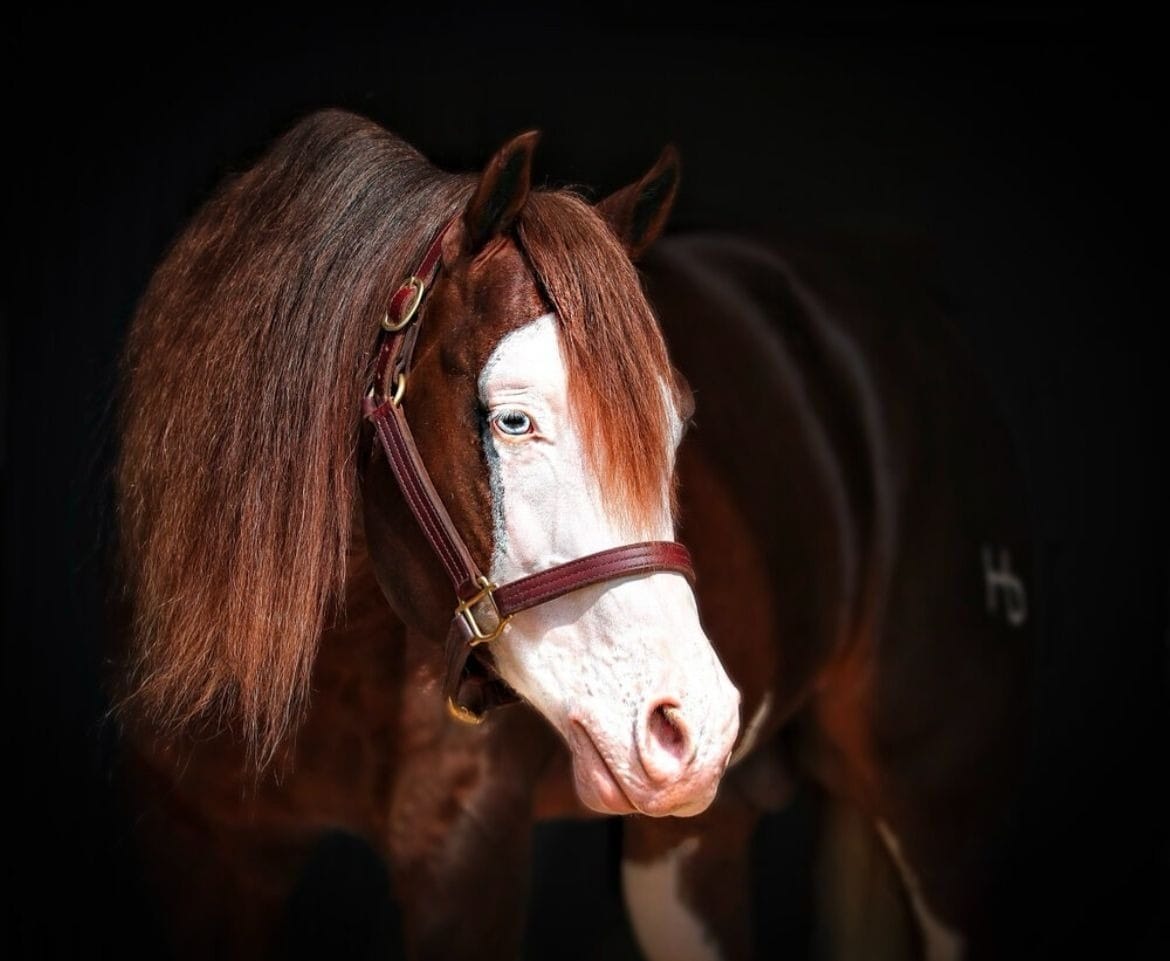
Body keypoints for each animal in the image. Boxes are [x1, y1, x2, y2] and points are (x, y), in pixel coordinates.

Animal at [113, 109, 1033, 960]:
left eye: (676, 425)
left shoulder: (465, 858)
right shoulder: (199, 848)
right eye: (513, 420)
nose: (692, 721)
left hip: (937, 806)